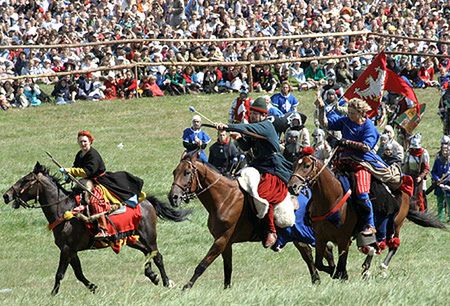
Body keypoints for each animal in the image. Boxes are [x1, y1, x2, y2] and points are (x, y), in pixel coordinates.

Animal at [2, 163, 191, 294]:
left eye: (26, 180)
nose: (6, 195)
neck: (63, 209)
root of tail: (147, 202)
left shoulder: (66, 249)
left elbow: (60, 273)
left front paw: (53, 294)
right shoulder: (71, 250)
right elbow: (78, 273)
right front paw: (93, 287)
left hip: (148, 236)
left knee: (157, 255)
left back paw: (166, 282)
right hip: (131, 239)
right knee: (147, 253)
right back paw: (151, 275)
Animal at [168, 152, 334, 290]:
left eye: (187, 173)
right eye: (174, 172)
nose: (173, 197)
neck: (225, 198)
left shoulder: (221, 240)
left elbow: (203, 264)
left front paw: (187, 286)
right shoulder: (226, 243)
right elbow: (228, 268)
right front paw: (226, 289)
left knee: (322, 250)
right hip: (297, 236)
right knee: (310, 253)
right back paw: (320, 278)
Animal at [288, 155, 446, 280]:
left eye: (306, 166)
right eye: (294, 164)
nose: (292, 186)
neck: (331, 199)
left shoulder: (343, 239)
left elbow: (340, 264)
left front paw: (341, 274)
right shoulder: (320, 238)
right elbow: (319, 263)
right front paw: (332, 272)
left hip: (395, 224)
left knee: (393, 245)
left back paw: (382, 267)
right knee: (375, 246)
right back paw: (367, 267)